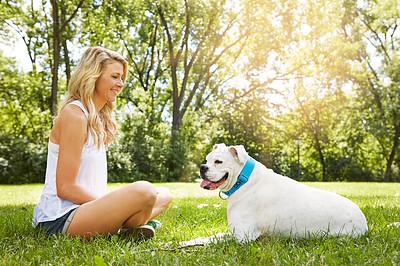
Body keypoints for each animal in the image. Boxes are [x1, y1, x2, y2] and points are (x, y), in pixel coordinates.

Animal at [198, 143, 368, 241]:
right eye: (207, 159)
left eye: (218, 161)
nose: (202, 167)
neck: (243, 180)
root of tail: (364, 221)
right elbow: (213, 236)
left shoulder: (242, 236)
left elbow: (212, 240)